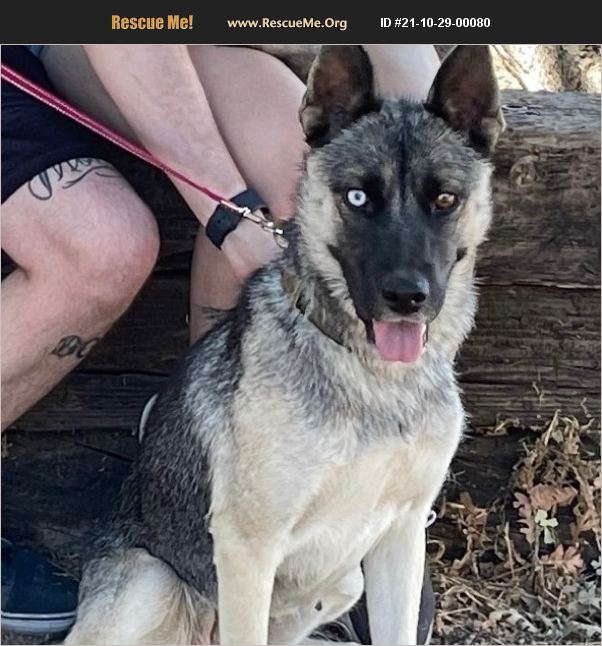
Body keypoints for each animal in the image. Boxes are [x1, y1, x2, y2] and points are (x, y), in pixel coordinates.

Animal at [65, 45, 504, 645]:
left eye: (444, 199)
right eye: (357, 197)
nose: (406, 297)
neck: (372, 375)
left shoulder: (401, 538)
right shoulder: (247, 552)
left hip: (343, 584)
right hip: (152, 584)